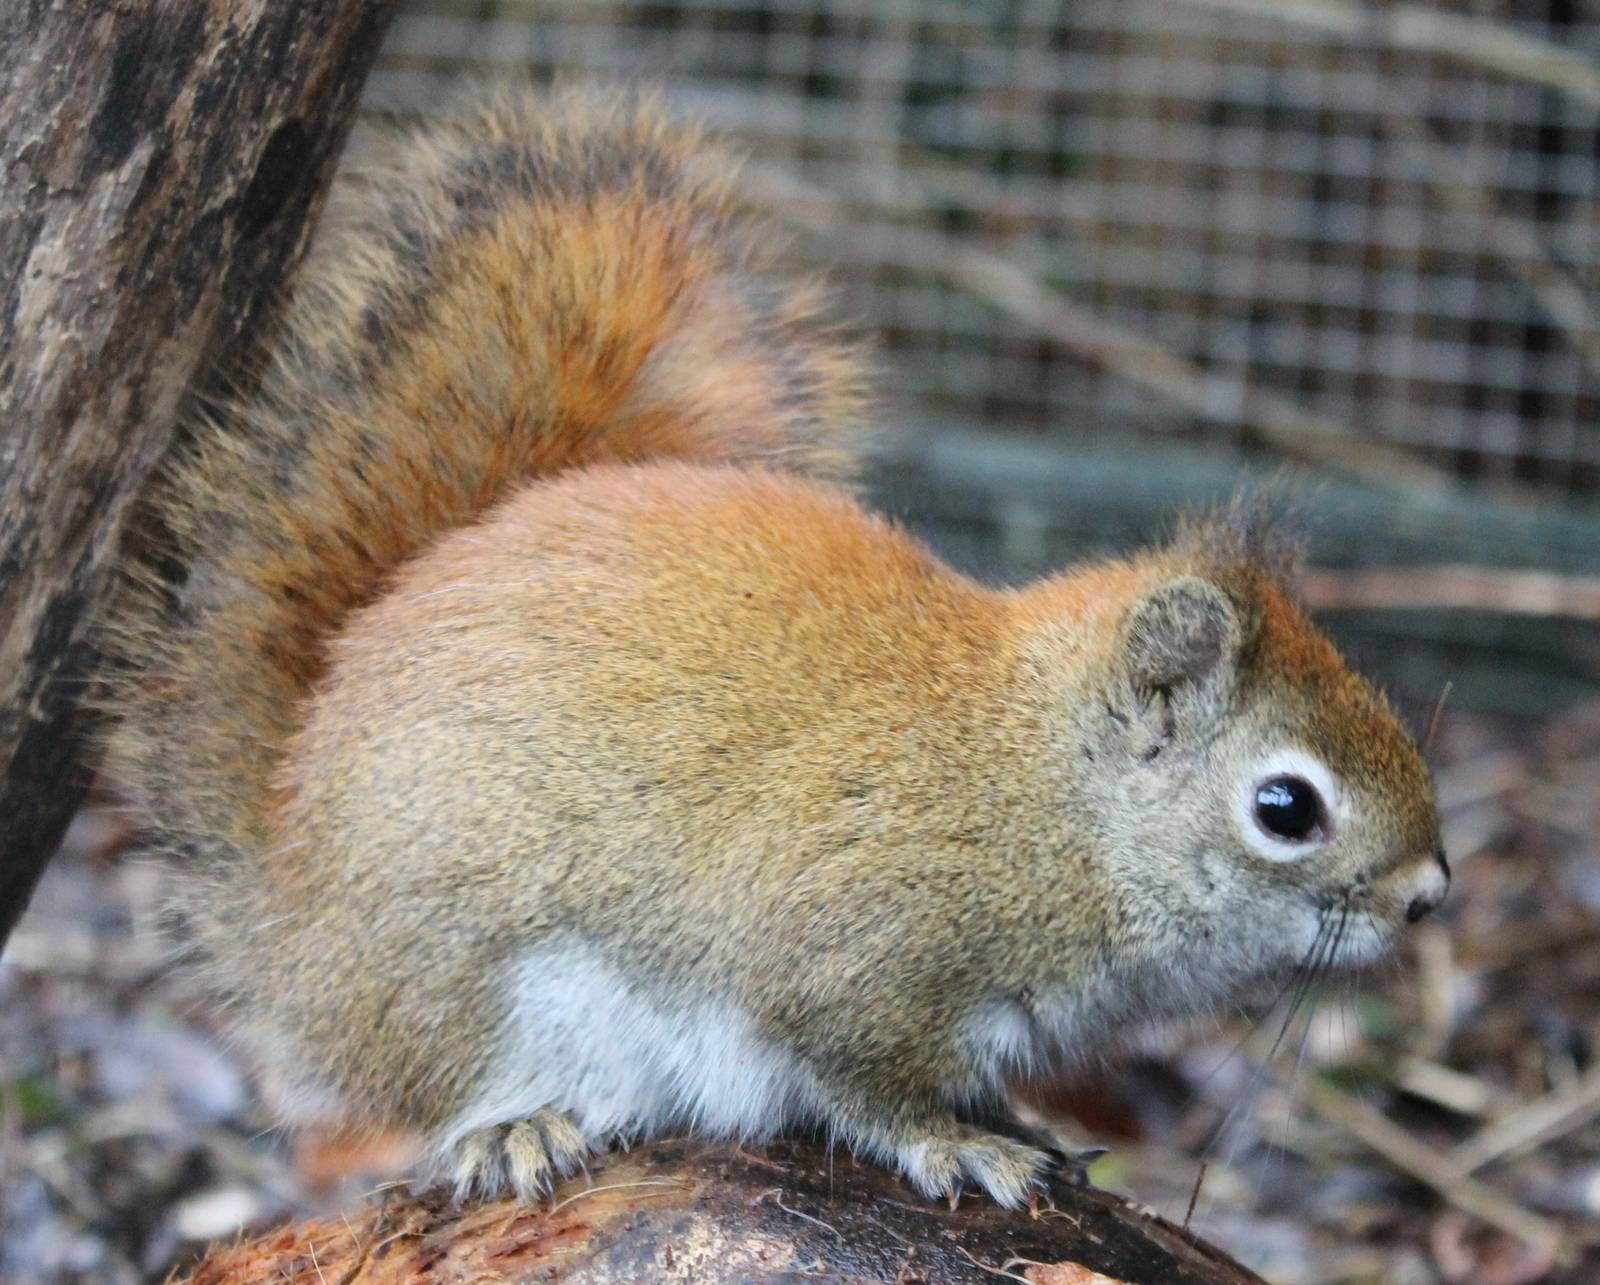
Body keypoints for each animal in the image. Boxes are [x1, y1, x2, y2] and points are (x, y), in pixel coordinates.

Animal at [104, 89, 1449, 1209]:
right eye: (1286, 806)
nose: (1430, 894)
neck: (1039, 799)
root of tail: (286, 904)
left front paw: (1021, 1120)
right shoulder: (851, 957)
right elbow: (864, 1082)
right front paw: (956, 1143)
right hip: (469, 979)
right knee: (425, 1097)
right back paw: (507, 1129)